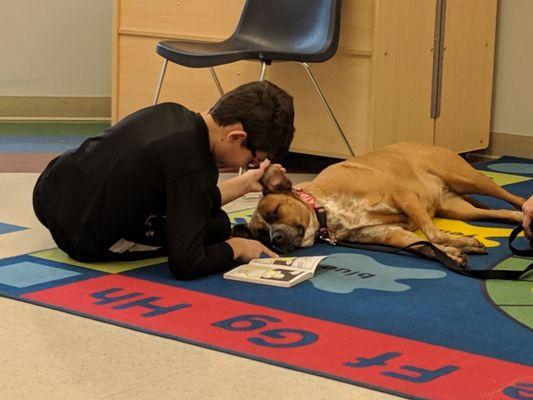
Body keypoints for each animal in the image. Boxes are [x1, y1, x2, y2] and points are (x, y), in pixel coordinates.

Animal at [239, 141, 524, 266]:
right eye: (261, 235)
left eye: (276, 211)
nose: (275, 239)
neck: (326, 210)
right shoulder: (390, 234)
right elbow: (423, 244)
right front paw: (453, 251)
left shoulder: (405, 197)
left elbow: (434, 234)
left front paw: (455, 244)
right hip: (457, 208)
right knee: (500, 212)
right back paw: (519, 219)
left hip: (468, 178)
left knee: (515, 199)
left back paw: (524, 209)